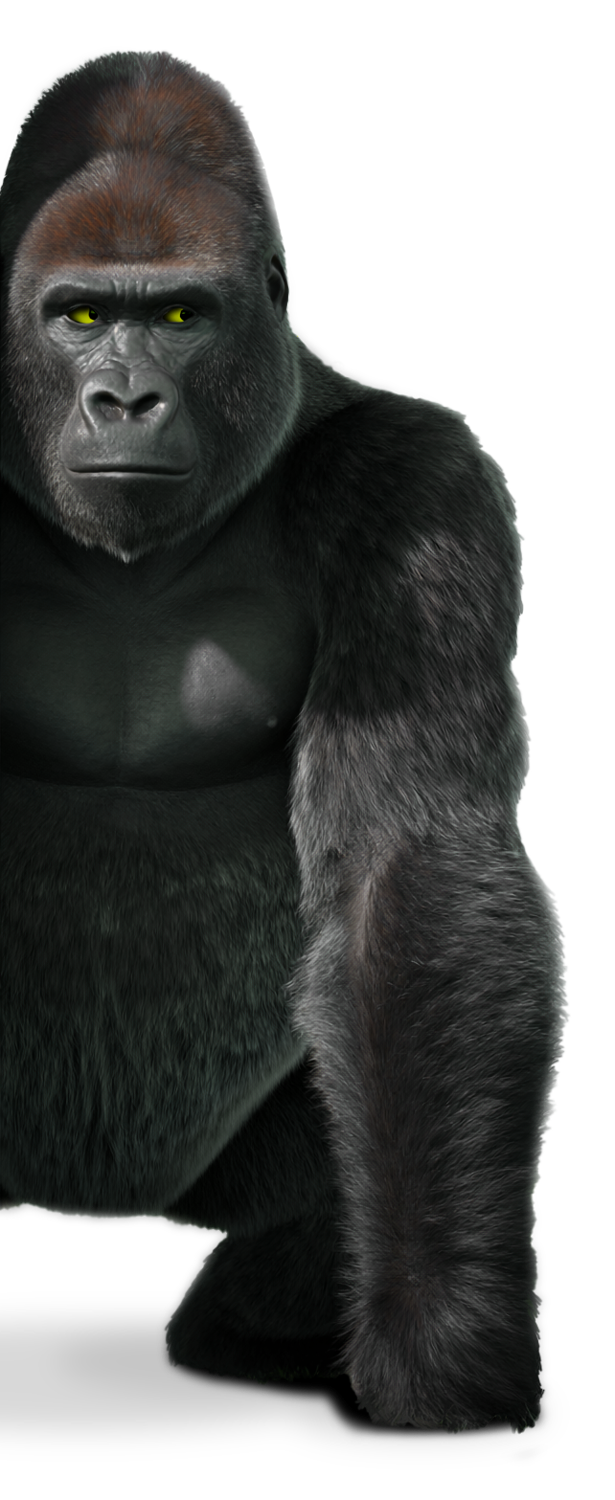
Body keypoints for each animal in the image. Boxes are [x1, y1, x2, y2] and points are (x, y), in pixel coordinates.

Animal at [0, 49, 569, 1433]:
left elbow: (410, 878)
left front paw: (441, 1335)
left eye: (181, 319)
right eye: (79, 321)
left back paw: (270, 1304)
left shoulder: (418, 483)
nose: (125, 398)